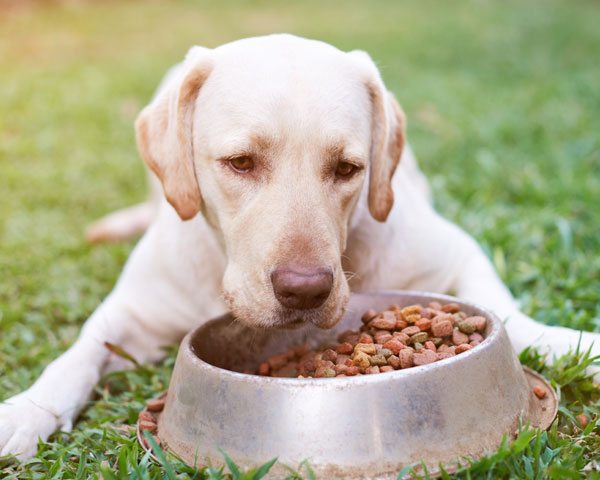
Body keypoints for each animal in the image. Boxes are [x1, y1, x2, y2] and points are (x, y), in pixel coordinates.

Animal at [2, 34, 596, 462]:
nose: (305, 290)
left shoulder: (455, 253)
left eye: (348, 168)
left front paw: (569, 343)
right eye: (240, 162)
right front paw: (26, 409)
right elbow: (78, 355)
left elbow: (511, 315)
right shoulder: (130, 312)